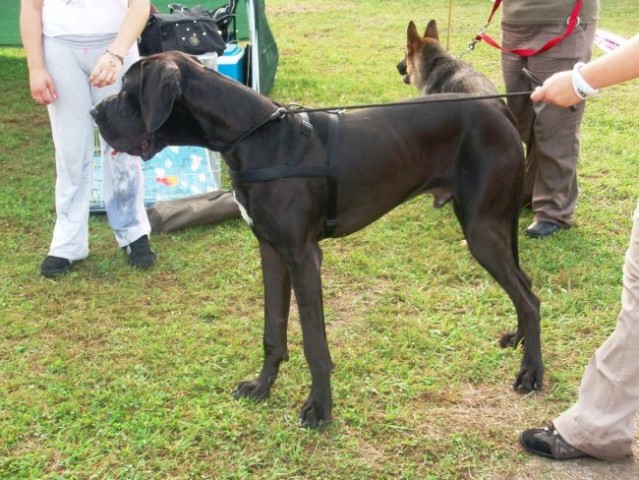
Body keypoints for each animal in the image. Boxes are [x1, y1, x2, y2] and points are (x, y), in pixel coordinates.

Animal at [92, 51, 544, 428]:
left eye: (129, 92)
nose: (95, 111)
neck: (254, 138)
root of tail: (499, 108)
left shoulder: (303, 256)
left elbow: (314, 342)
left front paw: (319, 407)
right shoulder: (271, 250)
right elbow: (273, 330)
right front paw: (262, 387)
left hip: (481, 229)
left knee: (530, 299)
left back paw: (531, 373)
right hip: (493, 225)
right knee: (525, 286)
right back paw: (518, 340)